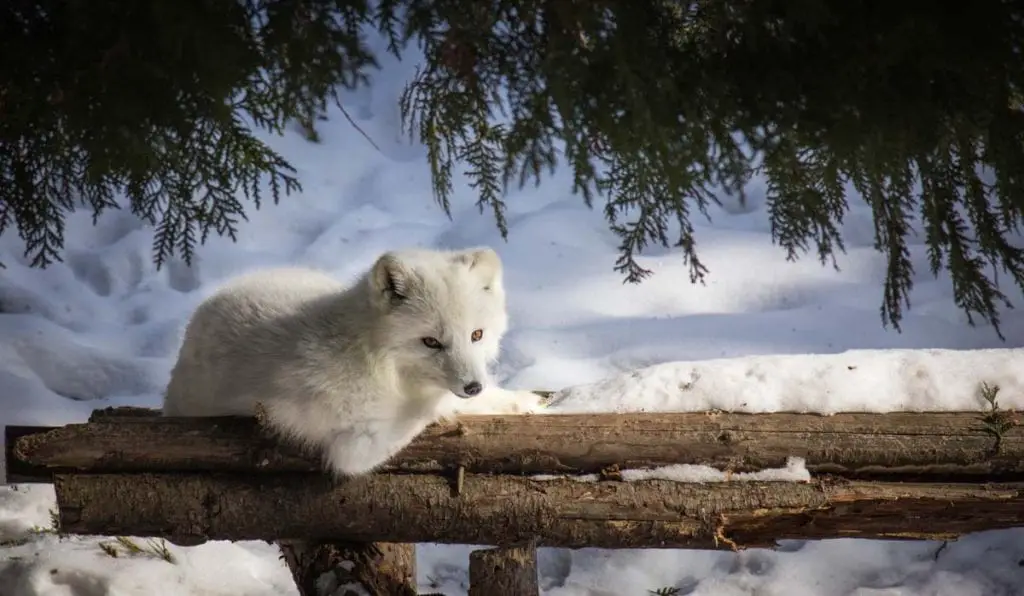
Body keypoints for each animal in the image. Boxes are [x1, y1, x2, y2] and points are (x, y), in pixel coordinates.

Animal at [161, 247, 544, 477]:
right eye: (431, 342)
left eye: (477, 335)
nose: (472, 386)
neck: (371, 353)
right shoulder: (355, 450)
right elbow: (432, 407)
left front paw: (527, 401)